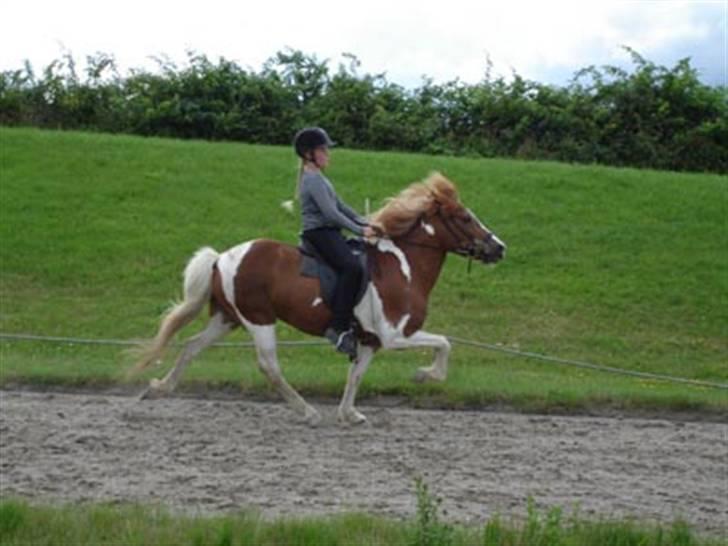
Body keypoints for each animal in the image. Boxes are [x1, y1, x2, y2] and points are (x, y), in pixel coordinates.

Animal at [129, 172, 506, 422]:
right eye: (464, 217)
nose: (499, 247)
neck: (404, 266)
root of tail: (221, 258)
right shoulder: (395, 335)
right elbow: (444, 343)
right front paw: (424, 376)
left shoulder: (370, 341)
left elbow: (356, 375)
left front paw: (350, 413)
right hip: (258, 319)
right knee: (268, 365)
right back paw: (306, 410)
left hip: (228, 318)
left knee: (192, 347)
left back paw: (157, 389)